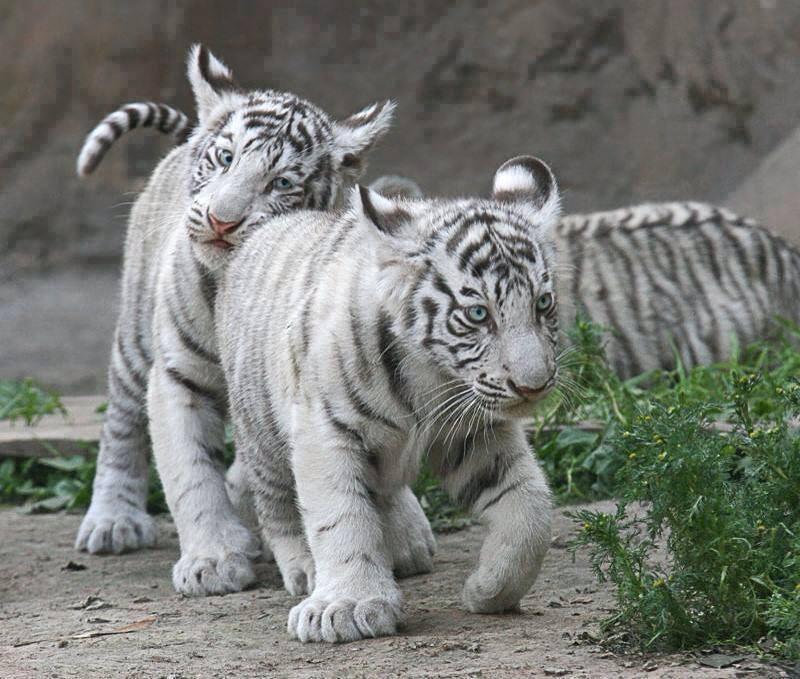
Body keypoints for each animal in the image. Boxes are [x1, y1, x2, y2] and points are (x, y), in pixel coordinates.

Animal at [73, 44, 437, 598]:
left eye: (281, 182)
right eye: (226, 158)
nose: (222, 221)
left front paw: (399, 533)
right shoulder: (177, 374)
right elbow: (190, 472)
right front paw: (213, 559)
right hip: (136, 339)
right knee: (122, 422)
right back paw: (114, 519)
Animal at [216, 155, 560, 643]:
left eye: (543, 304)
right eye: (478, 314)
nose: (534, 385)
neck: (431, 374)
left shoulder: (475, 433)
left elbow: (530, 508)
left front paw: (489, 589)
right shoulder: (326, 431)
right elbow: (340, 516)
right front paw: (346, 605)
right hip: (261, 429)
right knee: (277, 504)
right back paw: (304, 568)